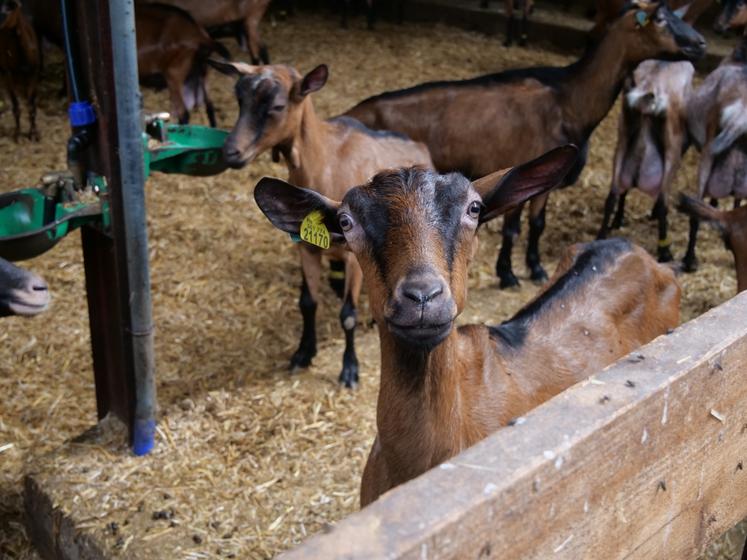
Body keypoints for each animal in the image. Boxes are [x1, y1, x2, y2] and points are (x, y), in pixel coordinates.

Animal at [0, 0, 39, 142]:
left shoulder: (34, 73)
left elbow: (31, 105)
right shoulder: (8, 73)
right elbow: (16, 105)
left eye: (10, 8)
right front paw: (17, 135)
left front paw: (33, 134)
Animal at [210, 59, 432, 388]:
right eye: (240, 100)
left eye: (277, 106)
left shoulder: (354, 257)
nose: (231, 152)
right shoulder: (307, 248)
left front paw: (349, 369)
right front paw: (303, 353)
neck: (325, 164)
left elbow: (348, 314)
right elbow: (307, 302)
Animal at [596, 60, 696, 262]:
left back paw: (602, 235)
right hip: (670, 152)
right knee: (663, 201)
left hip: (622, 143)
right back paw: (664, 251)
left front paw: (618, 220)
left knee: (613, 193)